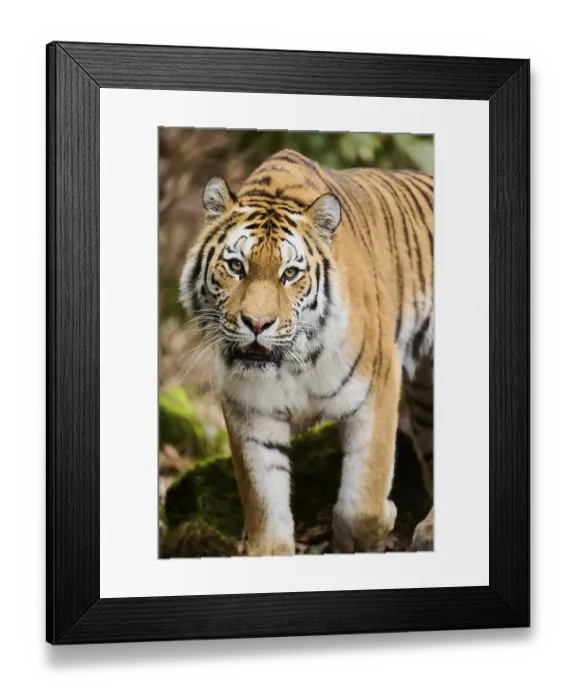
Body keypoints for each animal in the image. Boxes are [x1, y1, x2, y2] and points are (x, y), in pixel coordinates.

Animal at [179, 148, 434, 556]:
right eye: (236, 266)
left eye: (290, 273)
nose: (257, 323)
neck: (292, 364)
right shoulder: (250, 410)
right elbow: (265, 502)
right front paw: (272, 547)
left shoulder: (378, 380)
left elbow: (364, 500)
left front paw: (378, 522)